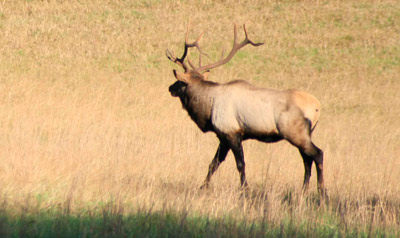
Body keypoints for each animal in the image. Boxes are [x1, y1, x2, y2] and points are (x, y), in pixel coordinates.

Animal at [167, 23, 326, 197]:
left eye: (180, 82)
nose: (170, 88)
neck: (208, 108)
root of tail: (317, 106)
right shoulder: (223, 137)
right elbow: (214, 163)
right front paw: (203, 187)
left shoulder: (231, 132)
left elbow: (240, 164)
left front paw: (245, 189)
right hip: (305, 134)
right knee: (306, 159)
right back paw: (304, 190)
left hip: (294, 132)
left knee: (317, 154)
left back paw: (322, 192)